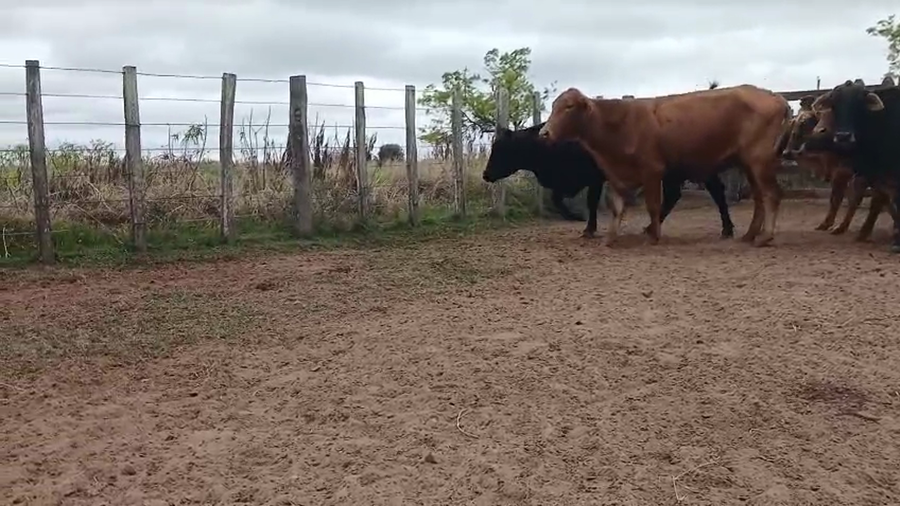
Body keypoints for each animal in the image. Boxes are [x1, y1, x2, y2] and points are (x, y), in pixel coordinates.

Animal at [482, 122, 737, 238]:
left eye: (502, 149)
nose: (485, 174)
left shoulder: (594, 178)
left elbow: (590, 202)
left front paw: (585, 225)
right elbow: (557, 199)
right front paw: (578, 219)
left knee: (715, 191)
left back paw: (726, 228)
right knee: (677, 195)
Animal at [538, 85, 791, 246]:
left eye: (569, 107)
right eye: (554, 106)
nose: (544, 133)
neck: (621, 123)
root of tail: (775, 97)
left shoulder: (652, 171)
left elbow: (653, 205)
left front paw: (653, 236)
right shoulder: (616, 175)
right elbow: (616, 207)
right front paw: (610, 238)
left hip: (759, 161)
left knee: (771, 194)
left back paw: (765, 237)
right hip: (749, 165)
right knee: (759, 198)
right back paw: (750, 235)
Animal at [783, 95, 889, 241]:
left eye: (804, 122)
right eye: (793, 123)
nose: (785, 153)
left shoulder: (844, 171)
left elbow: (839, 198)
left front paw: (830, 224)